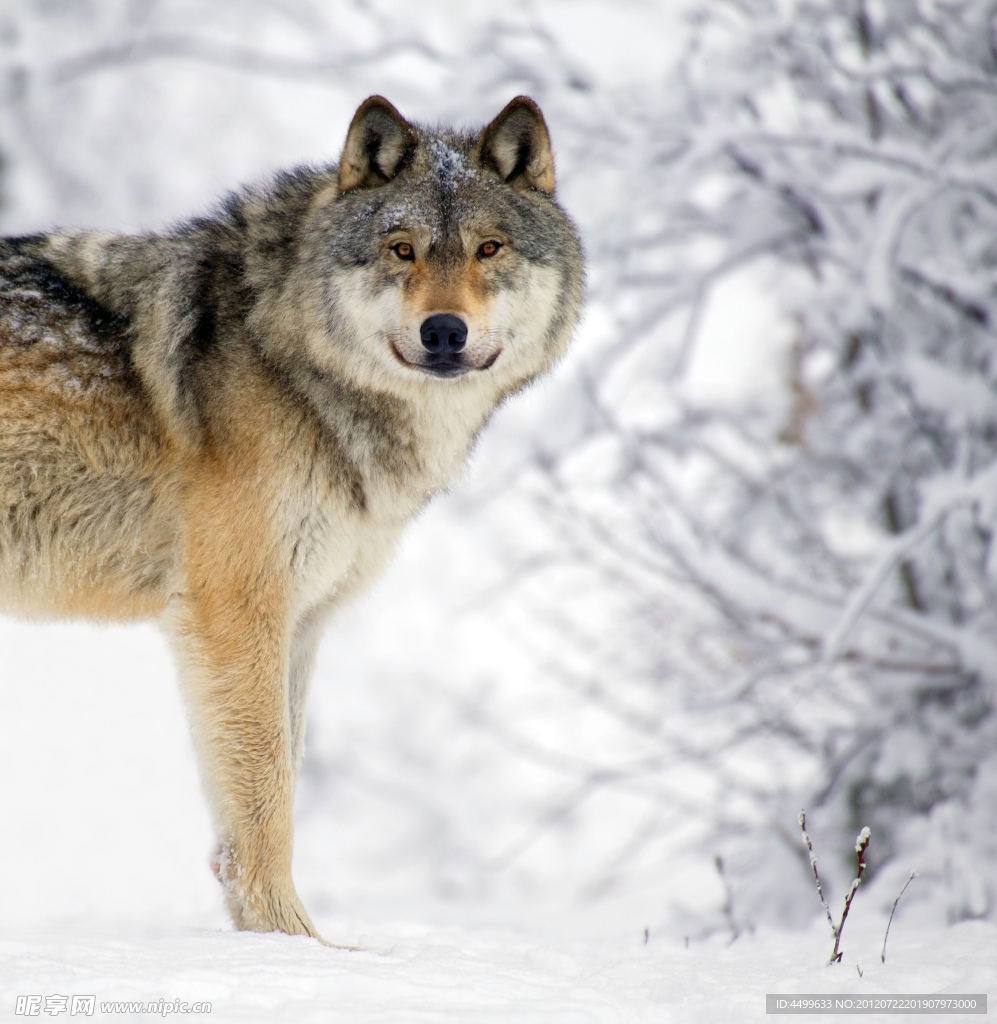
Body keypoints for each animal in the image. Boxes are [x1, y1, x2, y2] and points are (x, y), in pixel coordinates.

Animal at [0, 96, 585, 937]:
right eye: (401, 249)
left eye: (488, 249)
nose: (445, 331)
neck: (292, 361)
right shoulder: (235, 610)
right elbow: (267, 793)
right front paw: (295, 944)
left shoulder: (301, 619)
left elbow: (269, 788)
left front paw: (271, 940)